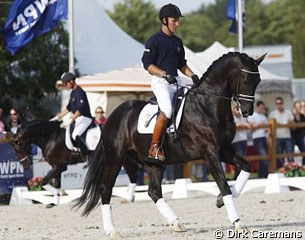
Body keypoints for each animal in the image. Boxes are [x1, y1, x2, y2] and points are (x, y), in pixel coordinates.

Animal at [74, 51, 266, 237]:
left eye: (258, 81)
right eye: (246, 79)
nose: (247, 111)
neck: (207, 106)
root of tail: (113, 116)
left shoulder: (224, 150)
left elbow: (246, 167)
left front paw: (220, 200)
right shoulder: (210, 153)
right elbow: (224, 185)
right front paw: (237, 223)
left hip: (152, 162)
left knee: (153, 191)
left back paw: (176, 224)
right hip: (115, 158)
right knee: (106, 189)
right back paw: (112, 230)